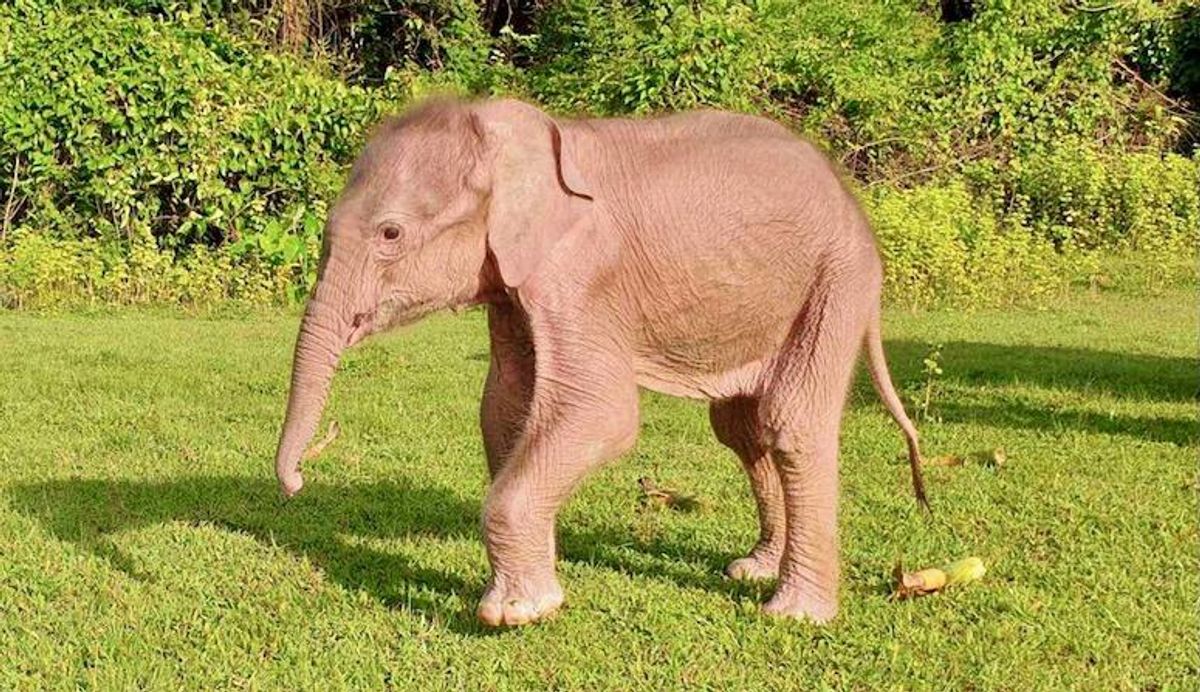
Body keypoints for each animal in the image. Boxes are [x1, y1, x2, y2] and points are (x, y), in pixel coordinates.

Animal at [273, 98, 927, 627]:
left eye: (390, 234)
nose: (297, 482)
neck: (510, 132)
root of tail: (852, 200)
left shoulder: (583, 276)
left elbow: (600, 413)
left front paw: (516, 613)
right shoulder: (515, 283)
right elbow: (505, 407)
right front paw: (532, 585)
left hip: (837, 278)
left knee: (791, 421)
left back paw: (795, 613)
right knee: (741, 427)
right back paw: (754, 570)